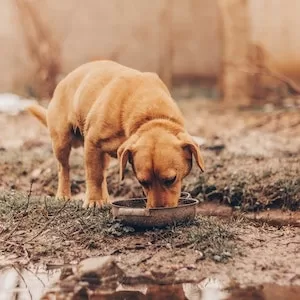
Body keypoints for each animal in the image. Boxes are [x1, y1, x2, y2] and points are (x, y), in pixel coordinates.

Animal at [27, 60, 205, 207]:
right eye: (143, 181)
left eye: (170, 180)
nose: (158, 209)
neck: (150, 113)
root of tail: (63, 81)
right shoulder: (92, 143)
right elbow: (94, 176)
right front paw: (93, 201)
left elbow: (99, 176)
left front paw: (98, 198)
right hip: (61, 142)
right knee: (64, 168)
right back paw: (64, 195)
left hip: (100, 155)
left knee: (102, 173)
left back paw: (105, 198)